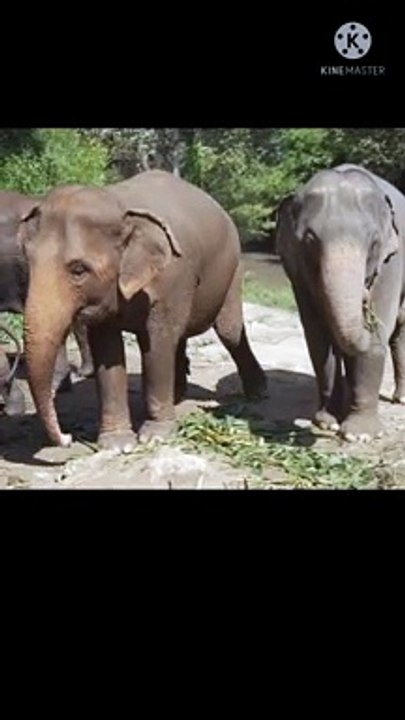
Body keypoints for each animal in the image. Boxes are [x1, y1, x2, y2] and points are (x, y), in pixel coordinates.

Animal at [18, 169, 267, 450]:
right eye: (28, 261)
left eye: (79, 270)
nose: (67, 438)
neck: (118, 205)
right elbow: (107, 348)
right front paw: (117, 445)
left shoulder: (171, 276)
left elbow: (156, 343)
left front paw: (155, 436)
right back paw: (178, 394)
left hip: (232, 269)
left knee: (229, 331)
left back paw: (257, 393)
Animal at [276, 163, 405, 441]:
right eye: (310, 240)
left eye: (374, 242)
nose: (364, 300)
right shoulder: (297, 274)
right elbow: (317, 340)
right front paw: (327, 423)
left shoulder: (393, 262)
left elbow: (376, 339)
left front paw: (360, 435)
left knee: (399, 331)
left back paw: (400, 399)